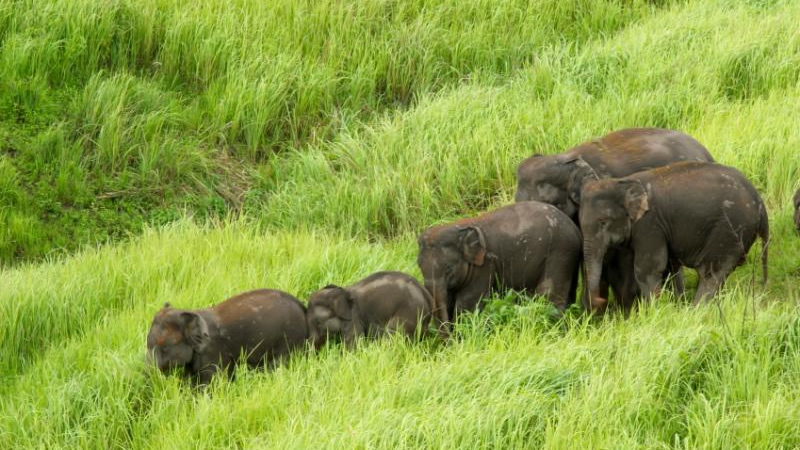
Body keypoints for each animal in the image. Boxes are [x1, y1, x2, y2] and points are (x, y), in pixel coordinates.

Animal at [418, 201, 580, 324]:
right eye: (419, 267)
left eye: (448, 268)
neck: (460, 227)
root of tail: (574, 227)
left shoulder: (484, 265)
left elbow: (467, 302)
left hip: (560, 252)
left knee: (549, 297)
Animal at [576, 162, 768, 310]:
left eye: (603, 222)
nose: (601, 301)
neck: (622, 183)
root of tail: (760, 202)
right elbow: (671, 266)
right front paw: (676, 306)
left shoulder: (649, 225)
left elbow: (648, 269)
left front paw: (654, 311)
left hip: (731, 228)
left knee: (711, 273)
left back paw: (696, 312)